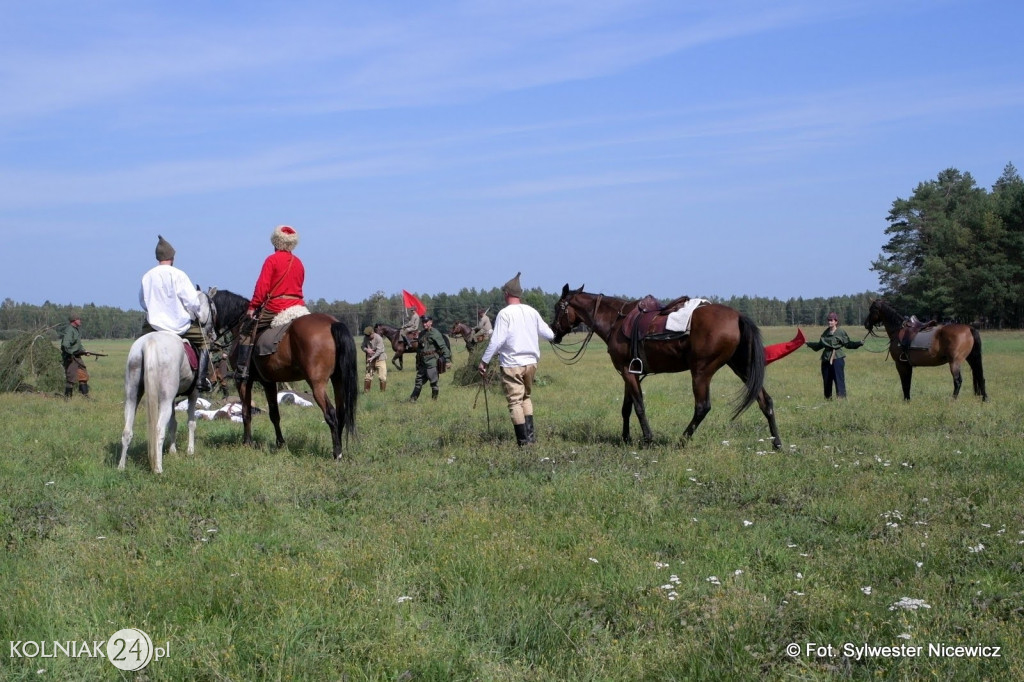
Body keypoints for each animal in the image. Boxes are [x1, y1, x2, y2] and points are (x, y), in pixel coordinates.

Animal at [119, 288, 214, 473]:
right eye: (212, 307)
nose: (212, 332)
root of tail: (148, 343)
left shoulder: (172, 400)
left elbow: (173, 423)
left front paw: (173, 451)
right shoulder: (193, 394)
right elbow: (190, 422)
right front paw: (190, 451)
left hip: (133, 395)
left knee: (127, 430)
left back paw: (121, 466)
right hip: (165, 398)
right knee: (158, 429)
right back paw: (158, 469)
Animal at [211, 288, 360, 458]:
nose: (211, 340)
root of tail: (332, 323)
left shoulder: (242, 381)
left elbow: (246, 411)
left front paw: (247, 442)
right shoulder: (268, 382)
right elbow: (274, 414)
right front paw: (280, 443)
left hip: (317, 384)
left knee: (331, 414)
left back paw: (337, 453)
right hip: (338, 380)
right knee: (341, 414)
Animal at [552, 280, 782, 446]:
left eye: (557, 308)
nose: (554, 332)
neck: (616, 321)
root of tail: (737, 316)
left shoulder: (627, 371)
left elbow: (639, 406)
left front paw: (648, 438)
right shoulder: (630, 372)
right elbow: (626, 408)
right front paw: (625, 439)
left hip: (702, 371)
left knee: (702, 407)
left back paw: (681, 441)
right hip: (742, 367)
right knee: (765, 401)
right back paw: (777, 443)